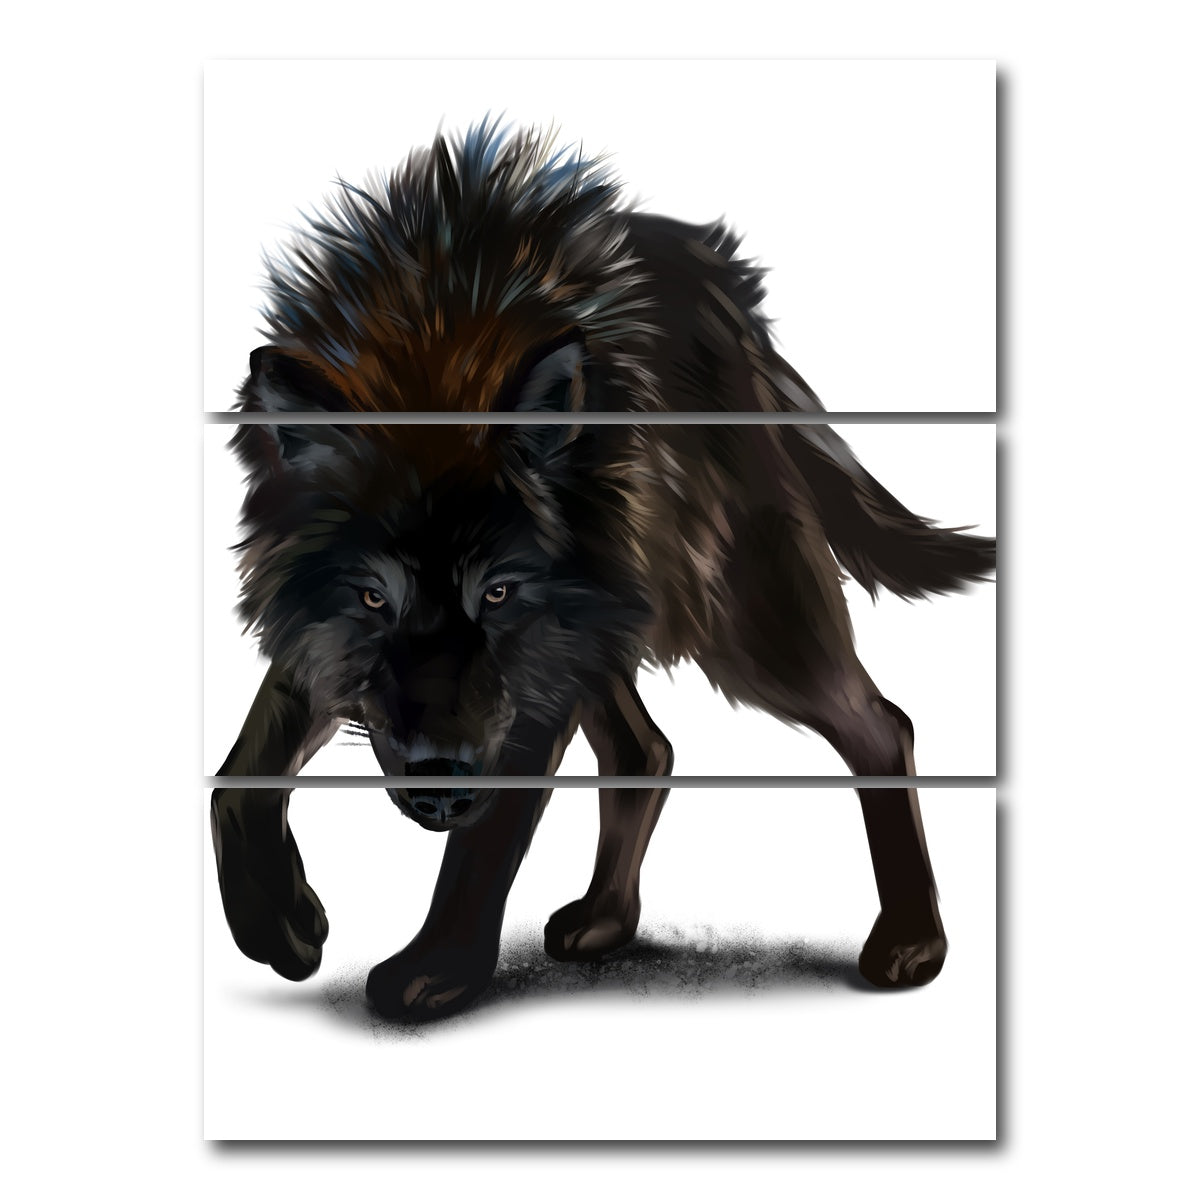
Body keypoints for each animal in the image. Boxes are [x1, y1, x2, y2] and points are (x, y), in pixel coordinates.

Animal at [211, 122, 995, 1022]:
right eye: (374, 597)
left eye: (498, 592)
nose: (441, 785)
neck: (437, 342)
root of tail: (731, 300)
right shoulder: (323, 642)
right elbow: (236, 779)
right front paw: (279, 926)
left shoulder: (532, 673)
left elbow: (486, 841)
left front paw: (436, 969)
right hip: (612, 624)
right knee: (646, 750)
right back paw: (605, 921)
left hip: (739, 620)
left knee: (880, 725)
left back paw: (913, 942)